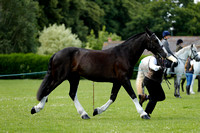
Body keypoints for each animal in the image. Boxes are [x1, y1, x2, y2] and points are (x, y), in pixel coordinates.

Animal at [30, 28, 166, 119]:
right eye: (155, 40)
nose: (164, 54)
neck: (124, 54)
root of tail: (56, 54)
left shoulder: (118, 81)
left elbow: (112, 97)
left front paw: (97, 110)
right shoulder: (124, 79)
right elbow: (132, 95)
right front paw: (143, 114)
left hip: (73, 78)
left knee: (71, 94)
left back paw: (84, 114)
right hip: (60, 77)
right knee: (48, 90)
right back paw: (35, 109)